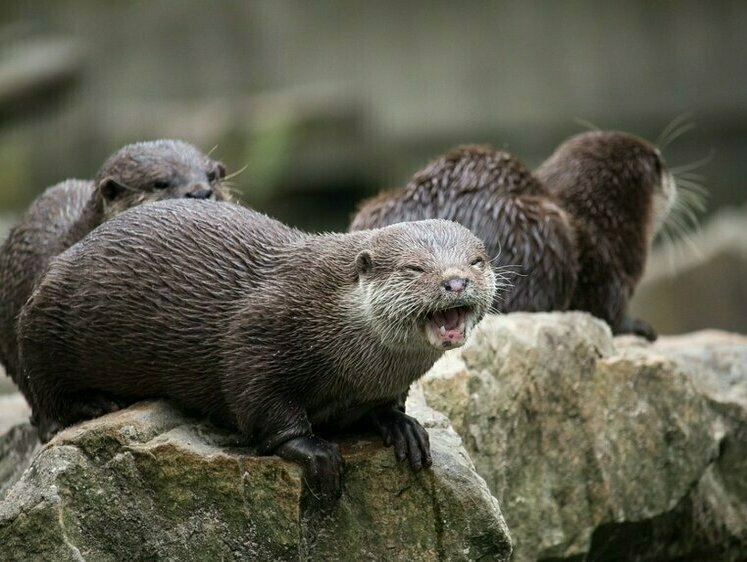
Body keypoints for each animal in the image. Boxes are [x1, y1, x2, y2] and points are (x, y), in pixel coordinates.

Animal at [17, 199, 494, 496]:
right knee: (43, 395)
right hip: (44, 322)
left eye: (476, 261)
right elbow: (259, 401)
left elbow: (387, 405)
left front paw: (401, 425)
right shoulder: (260, 334)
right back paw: (91, 405)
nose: (455, 281)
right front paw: (315, 451)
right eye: (414, 268)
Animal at [352, 133, 676, 340]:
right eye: (660, 165)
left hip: (373, 206)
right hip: (544, 232)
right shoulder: (608, 267)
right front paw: (638, 326)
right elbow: (608, 313)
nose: (673, 179)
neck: (604, 218)